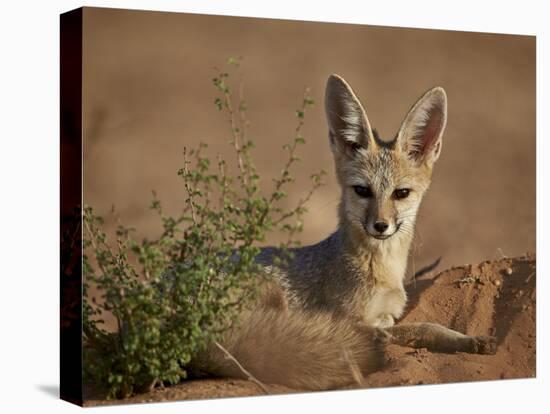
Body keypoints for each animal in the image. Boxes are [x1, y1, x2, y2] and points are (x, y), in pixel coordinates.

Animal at [190, 73, 500, 392]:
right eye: (362, 190)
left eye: (401, 193)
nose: (380, 225)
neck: (381, 269)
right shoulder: (352, 318)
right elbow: (413, 327)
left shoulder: (388, 313)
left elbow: (425, 325)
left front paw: (468, 340)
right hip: (272, 296)